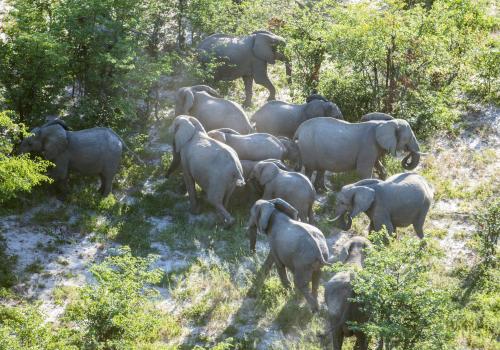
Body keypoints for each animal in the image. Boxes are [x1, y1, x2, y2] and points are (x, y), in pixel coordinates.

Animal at [292, 116, 422, 190]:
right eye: (408, 138)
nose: (407, 155)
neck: (387, 123)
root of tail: (298, 130)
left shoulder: (374, 148)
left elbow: (378, 165)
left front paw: (383, 181)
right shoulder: (368, 145)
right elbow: (364, 172)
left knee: (321, 169)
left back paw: (324, 191)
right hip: (308, 148)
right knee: (310, 169)